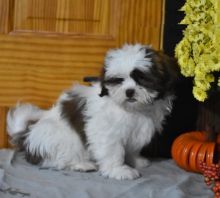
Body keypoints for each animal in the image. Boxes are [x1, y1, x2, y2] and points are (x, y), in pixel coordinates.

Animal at [7, 44, 179, 180]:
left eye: (142, 78)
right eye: (118, 81)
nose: (129, 91)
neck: (133, 109)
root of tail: (27, 135)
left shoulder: (137, 131)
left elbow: (132, 147)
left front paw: (135, 160)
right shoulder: (107, 131)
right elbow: (113, 150)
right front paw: (119, 170)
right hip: (59, 137)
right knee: (57, 159)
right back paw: (82, 164)